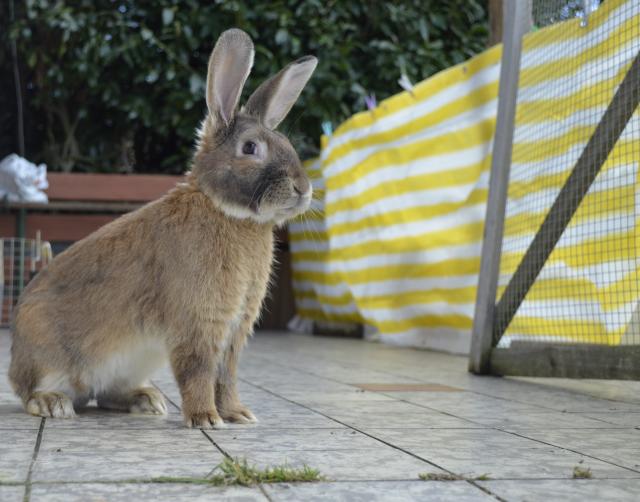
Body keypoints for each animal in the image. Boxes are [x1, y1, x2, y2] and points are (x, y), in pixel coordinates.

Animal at [8, 28, 317, 428]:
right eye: (250, 148)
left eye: (287, 144)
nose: (303, 188)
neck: (227, 212)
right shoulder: (198, 321)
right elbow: (198, 370)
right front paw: (206, 418)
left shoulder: (234, 330)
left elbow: (226, 375)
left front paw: (237, 414)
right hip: (46, 354)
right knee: (34, 392)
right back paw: (53, 404)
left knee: (105, 395)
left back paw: (147, 400)